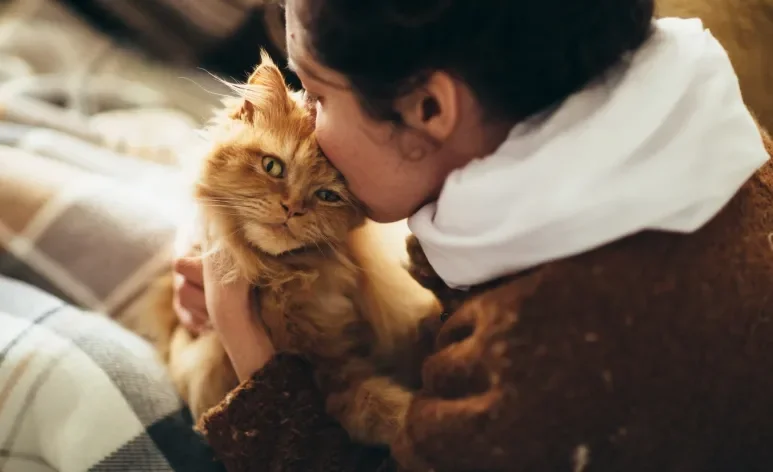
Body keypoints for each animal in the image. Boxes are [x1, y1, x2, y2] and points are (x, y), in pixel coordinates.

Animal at [142, 53, 438, 448]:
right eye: (273, 166)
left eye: (327, 195)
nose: (292, 209)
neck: (283, 280)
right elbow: (381, 406)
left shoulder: (335, 367)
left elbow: (382, 402)